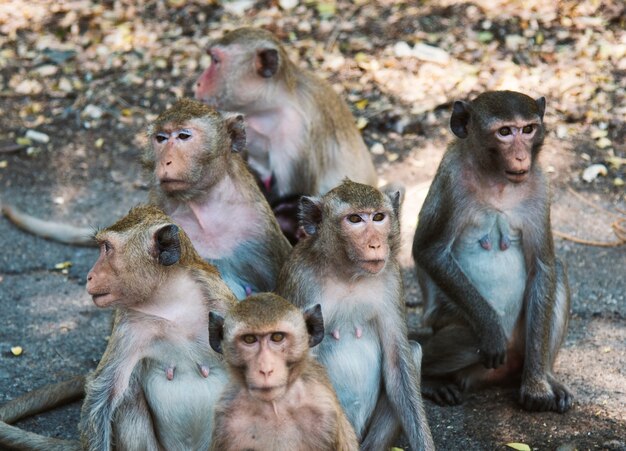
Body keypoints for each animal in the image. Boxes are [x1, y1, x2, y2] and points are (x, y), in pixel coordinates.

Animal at [0, 206, 236, 451]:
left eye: (107, 248)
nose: (89, 276)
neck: (172, 304)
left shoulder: (222, 303)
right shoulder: (128, 323)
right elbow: (103, 393)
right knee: (127, 391)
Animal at [207, 294, 358, 451]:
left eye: (277, 337)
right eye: (249, 339)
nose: (266, 369)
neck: (275, 407)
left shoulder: (325, 415)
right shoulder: (225, 420)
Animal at [276, 179, 432, 451]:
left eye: (378, 217)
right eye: (355, 219)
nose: (376, 244)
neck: (348, 274)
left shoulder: (391, 276)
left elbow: (397, 361)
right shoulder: (301, 282)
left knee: (412, 350)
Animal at [410, 90, 572, 414]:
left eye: (528, 129)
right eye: (505, 132)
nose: (521, 156)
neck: (498, 181)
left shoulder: (540, 185)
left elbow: (543, 266)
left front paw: (537, 385)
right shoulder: (451, 180)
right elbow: (429, 250)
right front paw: (491, 329)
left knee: (557, 273)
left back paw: (546, 375)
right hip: (447, 325)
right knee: (467, 338)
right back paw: (430, 380)